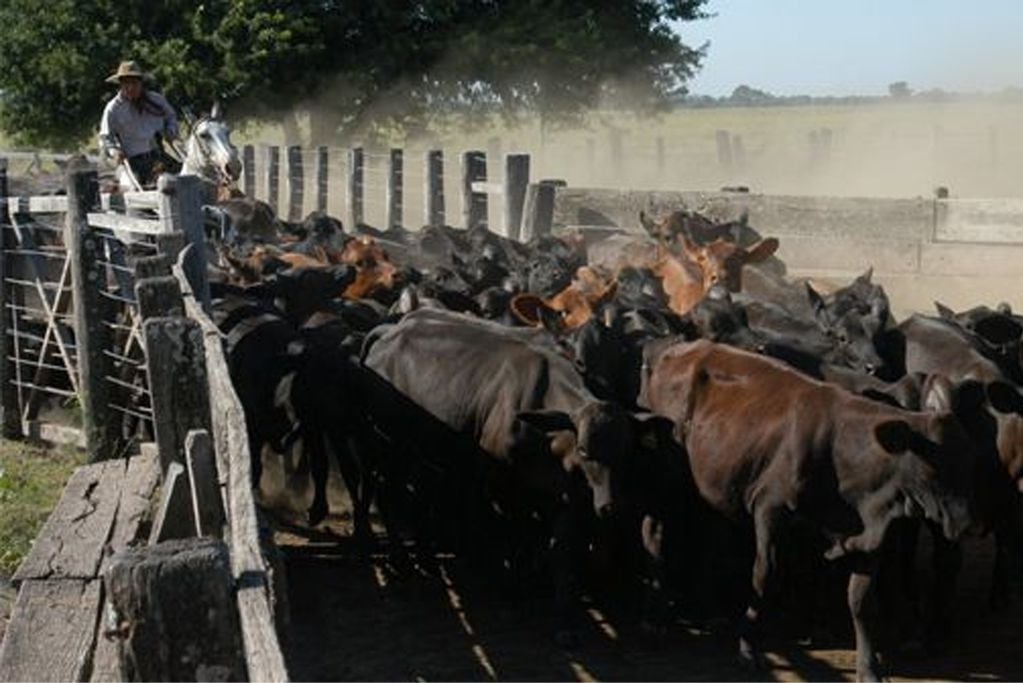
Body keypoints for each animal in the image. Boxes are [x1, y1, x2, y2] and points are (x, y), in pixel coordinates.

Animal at [638, 339, 973, 678]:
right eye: (933, 468)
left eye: (970, 462)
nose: (967, 525)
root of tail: (681, 348)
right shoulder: (770, 510)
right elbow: (765, 578)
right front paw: (747, 647)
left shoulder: (868, 536)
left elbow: (859, 600)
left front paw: (868, 667)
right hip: (669, 483)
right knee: (655, 534)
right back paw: (654, 621)